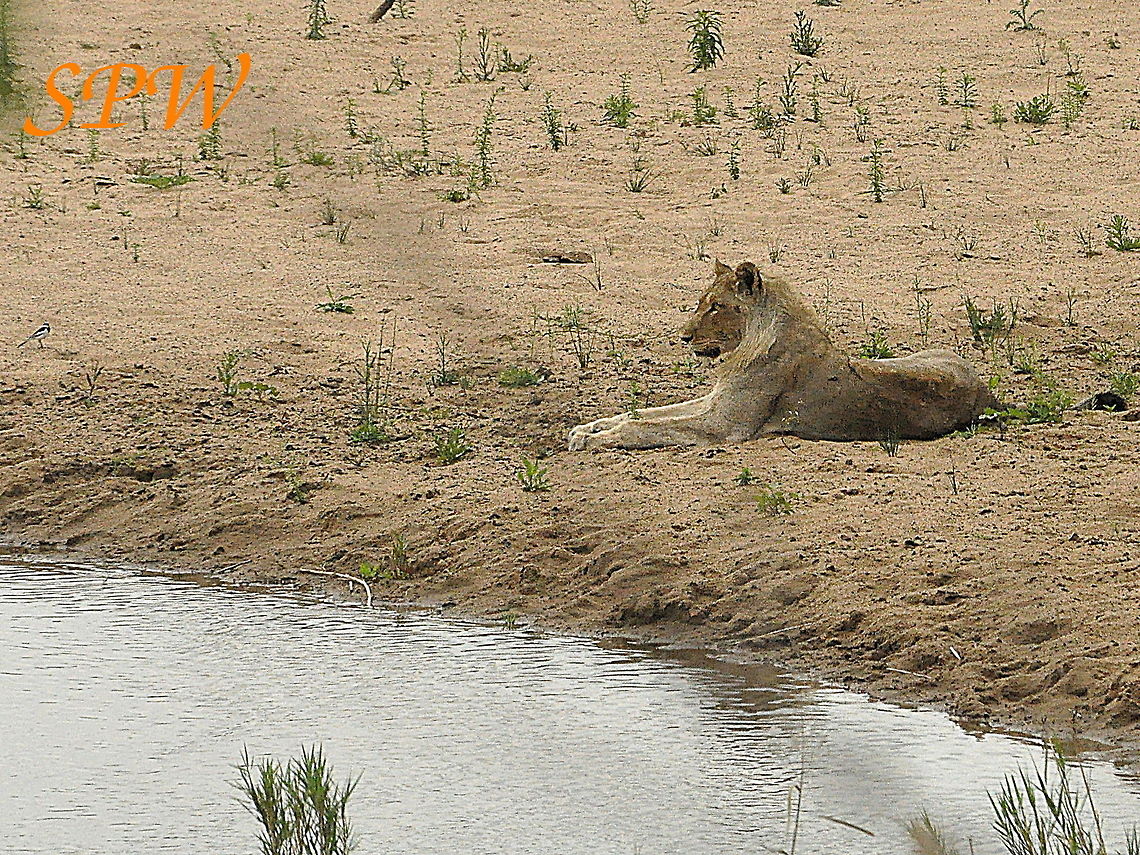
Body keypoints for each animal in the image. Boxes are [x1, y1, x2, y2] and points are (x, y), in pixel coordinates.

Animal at [568, 260, 998, 450]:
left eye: (716, 307)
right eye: (702, 302)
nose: (684, 337)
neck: (745, 348)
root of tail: (986, 391)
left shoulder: (723, 426)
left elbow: (646, 428)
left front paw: (594, 439)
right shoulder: (714, 402)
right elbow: (642, 413)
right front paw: (587, 428)